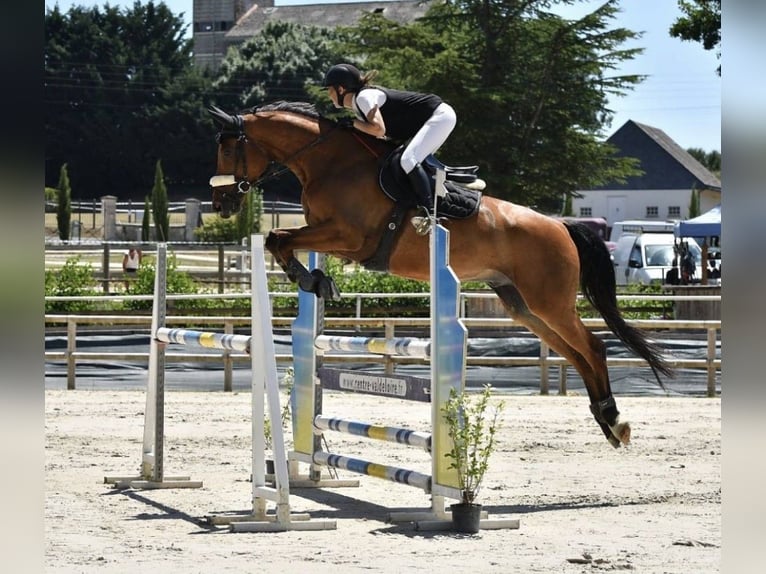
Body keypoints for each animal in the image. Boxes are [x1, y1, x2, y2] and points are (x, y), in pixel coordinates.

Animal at [207, 100, 672, 449]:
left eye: (227, 150)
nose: (221, 205)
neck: (329, 162)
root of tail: (560, 225)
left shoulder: (349, 236)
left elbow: (279, 237)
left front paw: (312, 280)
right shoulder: (333, 236)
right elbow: (280, 240)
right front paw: (316, 280)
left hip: (549, 301)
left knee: (592, 347)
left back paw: (614, 419)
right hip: (522, 305)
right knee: (574, 353)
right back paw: (606, 420)